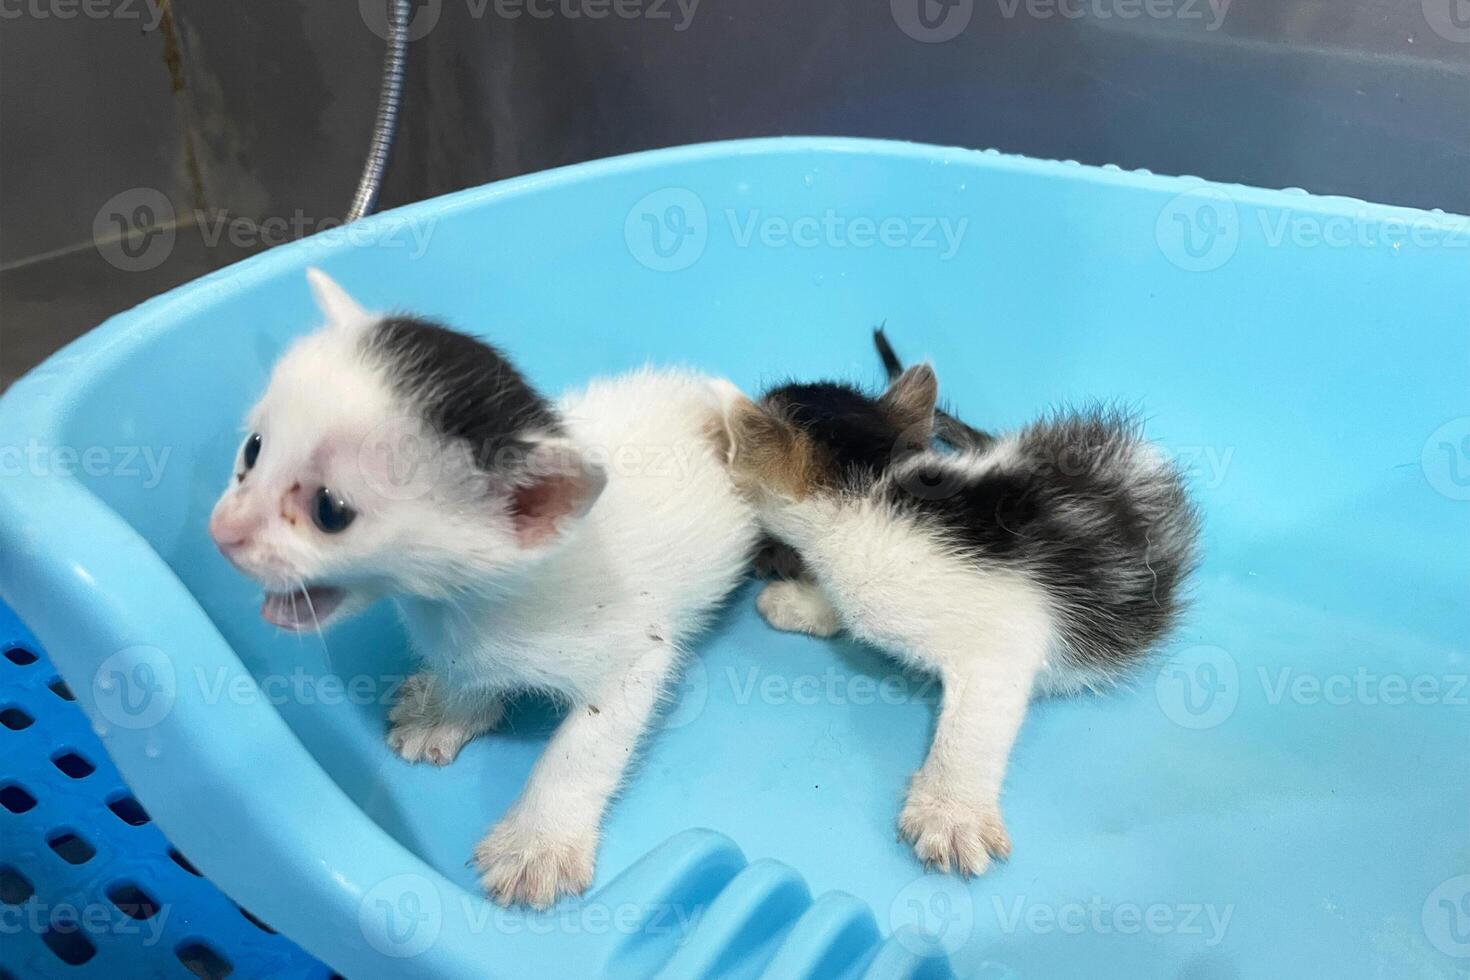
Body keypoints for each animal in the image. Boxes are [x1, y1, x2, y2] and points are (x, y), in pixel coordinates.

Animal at [213, 268, 758, 905]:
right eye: (252, 450)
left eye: (330, 511)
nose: (222, 532)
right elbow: (469, 672)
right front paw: (446, 713)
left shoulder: (637, 654)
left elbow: (585, 748)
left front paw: (537, 843)